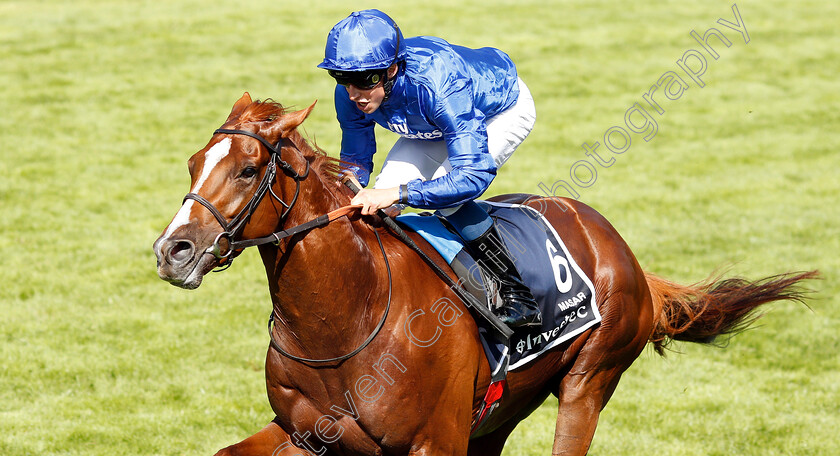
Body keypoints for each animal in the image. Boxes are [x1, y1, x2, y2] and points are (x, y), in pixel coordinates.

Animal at [154, 93, 816, 456]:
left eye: (246, 170)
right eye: (192, 162)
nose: (172, 250)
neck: (346, 320)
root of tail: (618, 246)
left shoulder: (435, 442)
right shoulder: (306, 432)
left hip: (589, 380)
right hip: (503, 410)